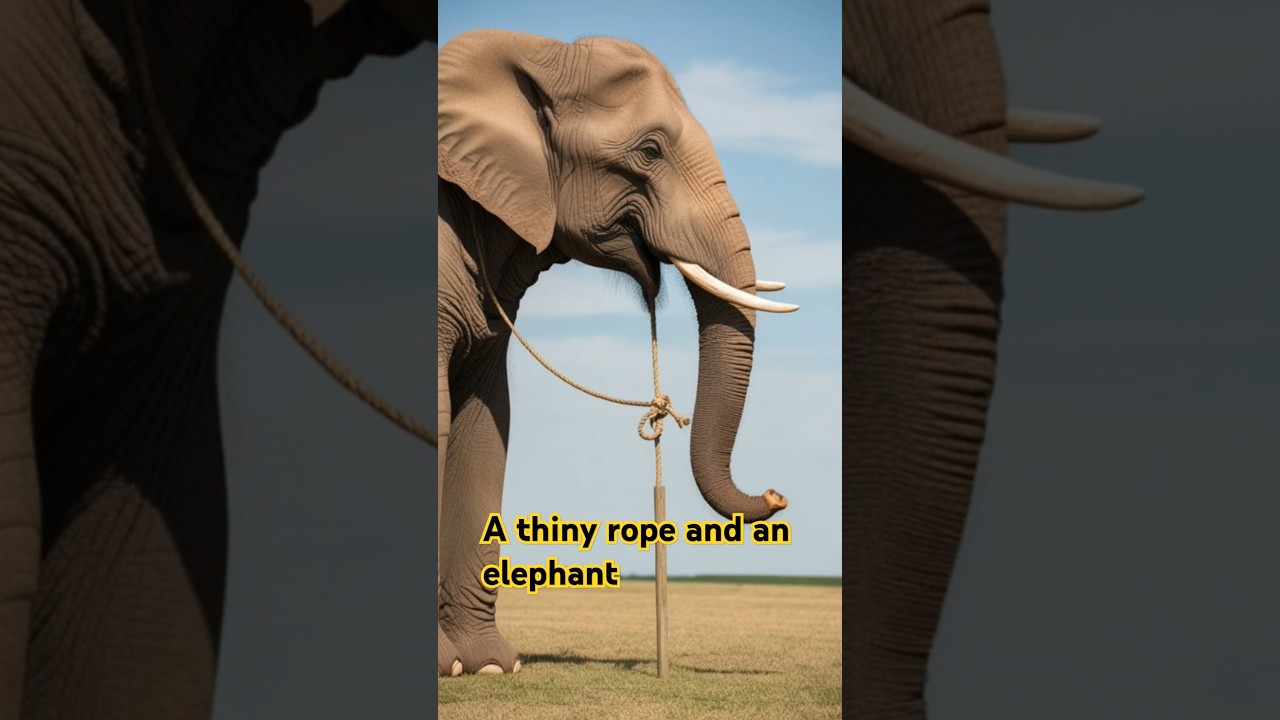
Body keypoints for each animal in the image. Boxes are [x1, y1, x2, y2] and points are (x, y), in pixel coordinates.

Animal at [436, 30, 798, 677]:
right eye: (649, 151)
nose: (778, 493)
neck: (533, 52)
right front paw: (451, 665)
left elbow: (486, 423)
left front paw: (488, 667)